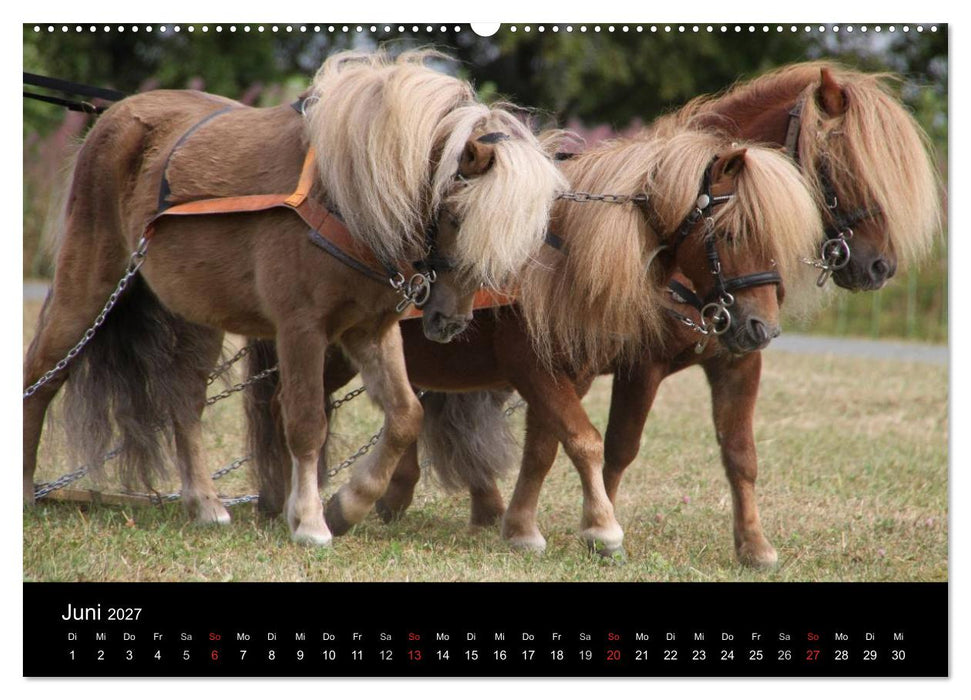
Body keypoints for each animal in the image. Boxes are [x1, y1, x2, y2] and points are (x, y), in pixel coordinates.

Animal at [22, 49, 567, 547]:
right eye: (456, 216)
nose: (450, 322)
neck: (343, 197)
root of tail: (115, 116)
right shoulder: (301, 329)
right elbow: (305, 421)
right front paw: (309, 521)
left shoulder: (370, 330)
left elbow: (405, 415)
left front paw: (348, 505)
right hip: (89, 285)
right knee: (43, 374)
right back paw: (27, 492)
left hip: (197, 315)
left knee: (184, 401)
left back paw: (204, 504)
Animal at [247, 125, 823, 557]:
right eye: (729, 233)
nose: (762, 329)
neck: (561, 254)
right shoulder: (544, 367)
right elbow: (586, 441)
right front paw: (601, 530)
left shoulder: (574, 372)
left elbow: (548, 446)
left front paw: (524, 527)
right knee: (290, 408)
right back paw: (295, 505)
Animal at [372, 62, 944, 567]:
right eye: (838, 165)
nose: (879, 266)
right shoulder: (628, 366)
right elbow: (610, 446)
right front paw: (594, 528)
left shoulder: (735, 359)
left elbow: (739, 454)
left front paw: (754, 546)